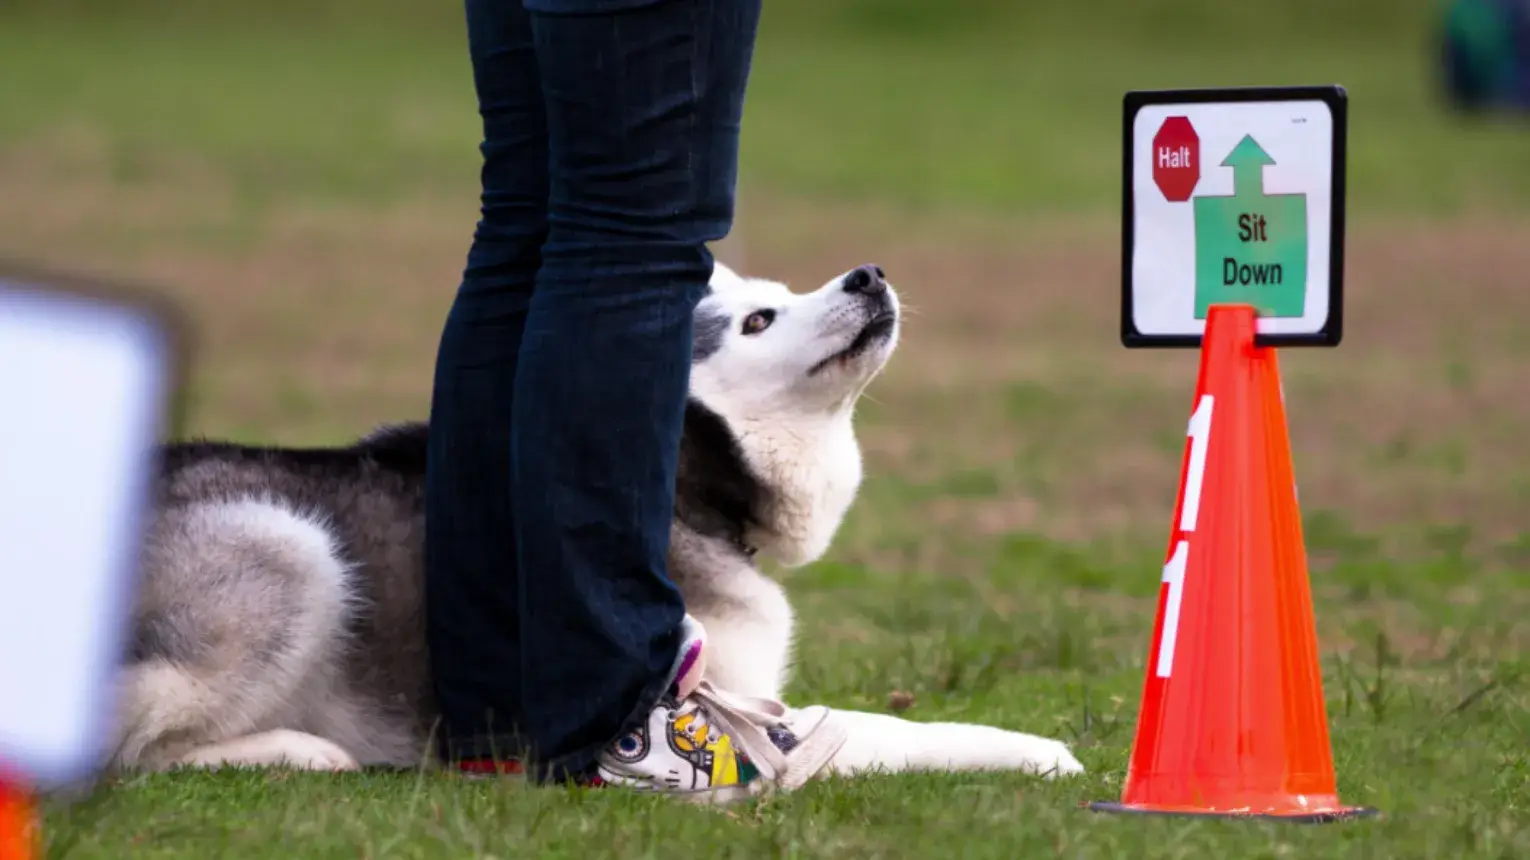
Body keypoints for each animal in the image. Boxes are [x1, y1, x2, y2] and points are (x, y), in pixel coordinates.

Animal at [107, 260, 1085, 783]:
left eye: (778, 293)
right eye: (760, 320)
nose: (868, 274)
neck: (689, 488)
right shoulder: (737, 719)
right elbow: (900, 728)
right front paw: (1041, 750)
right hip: (291, 547)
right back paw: (302, 751)